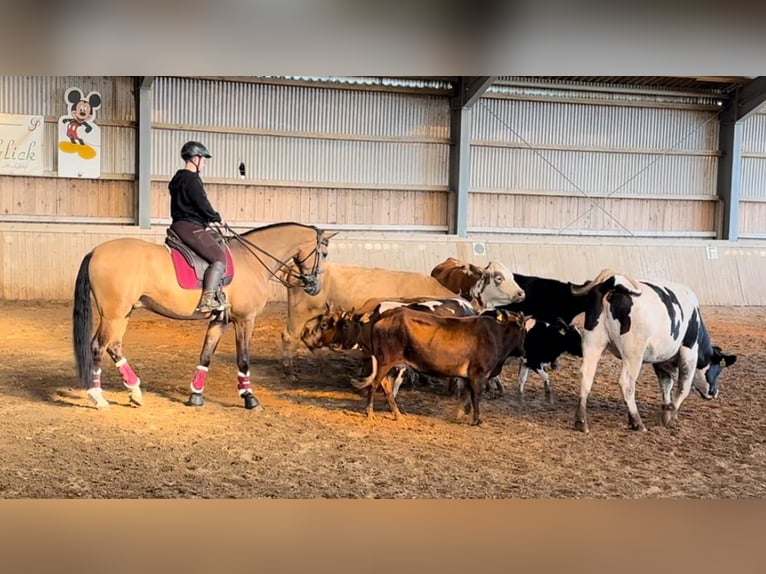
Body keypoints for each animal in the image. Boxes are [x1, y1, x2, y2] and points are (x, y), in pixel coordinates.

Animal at [73, 223, 334, 412]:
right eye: (323, 253)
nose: (315, 287)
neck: (251, 261)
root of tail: (95, 251)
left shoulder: (219, 321)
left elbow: (206, 355)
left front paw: (196, 395)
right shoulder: (245, 319)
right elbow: (243, 359)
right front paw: (249, 398)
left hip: (123, 313)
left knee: (114, 346)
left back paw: (135, 392)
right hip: (113, 314)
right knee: (98, 347)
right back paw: (98, 398)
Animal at [352, 310, 528, 428]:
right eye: (524, 330)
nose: (524, 351)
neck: (496, 336)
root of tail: (386, 314)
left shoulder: (468, 377)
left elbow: (465, 396)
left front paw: (459, 415)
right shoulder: (479, 374)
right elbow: (476, 397)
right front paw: (477, 420)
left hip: (390, 365)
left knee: (386, 386)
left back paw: (398, 415)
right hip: (384, 361)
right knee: (374, 384)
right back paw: (370, 413)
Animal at [568, 272, 736, 434]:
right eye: (718, 368)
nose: (714, 392)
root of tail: (613, 283)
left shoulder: (661, 360)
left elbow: (666, 384)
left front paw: (667, 412)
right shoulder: (689, 353)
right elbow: (683, 387)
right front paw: (671, 417)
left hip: (593, 342)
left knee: (586, 375)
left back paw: (581, 422)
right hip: (633, 353)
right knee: (626, 382)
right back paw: (637, 422)